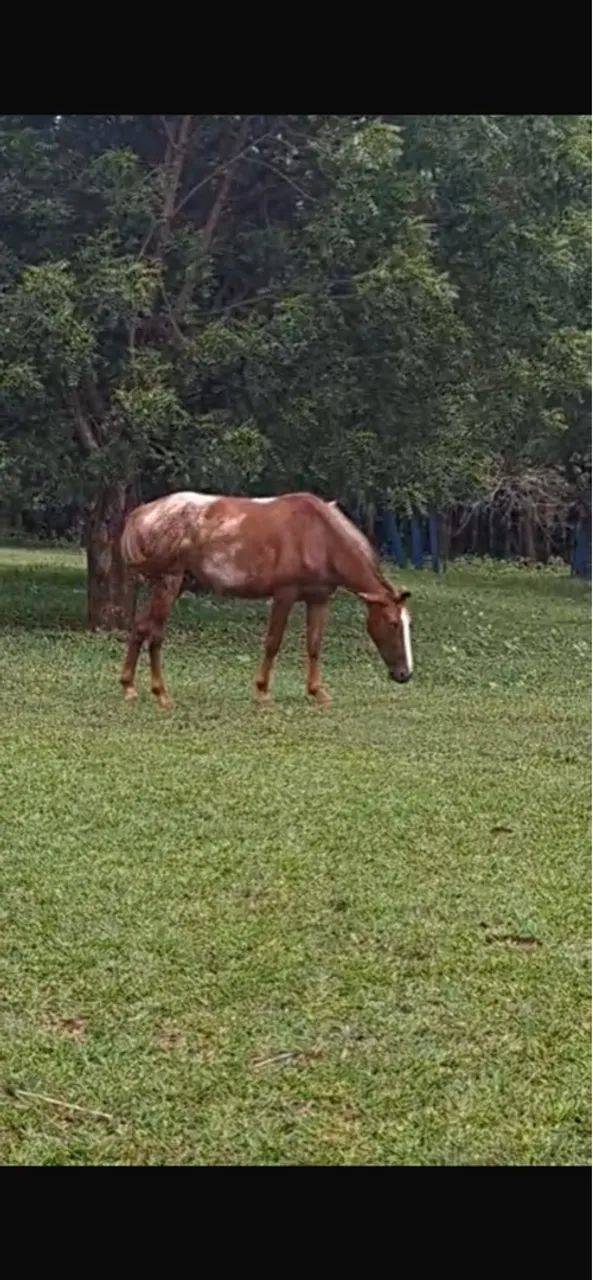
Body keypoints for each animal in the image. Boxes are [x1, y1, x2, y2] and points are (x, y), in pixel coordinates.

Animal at [119, 491, 413, 708]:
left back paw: (129, 686)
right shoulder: (284, 595)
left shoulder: (319, 599)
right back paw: (161, 693)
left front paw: (316, 691)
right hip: (168, 583)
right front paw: (262, 691)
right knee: (156, 634)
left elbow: (314, 645)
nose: (405, 675)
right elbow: (273, 642)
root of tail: (142, 513)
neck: (320, 536)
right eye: (392, 624)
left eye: (408, 624)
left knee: (141, 626)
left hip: (169, 585)